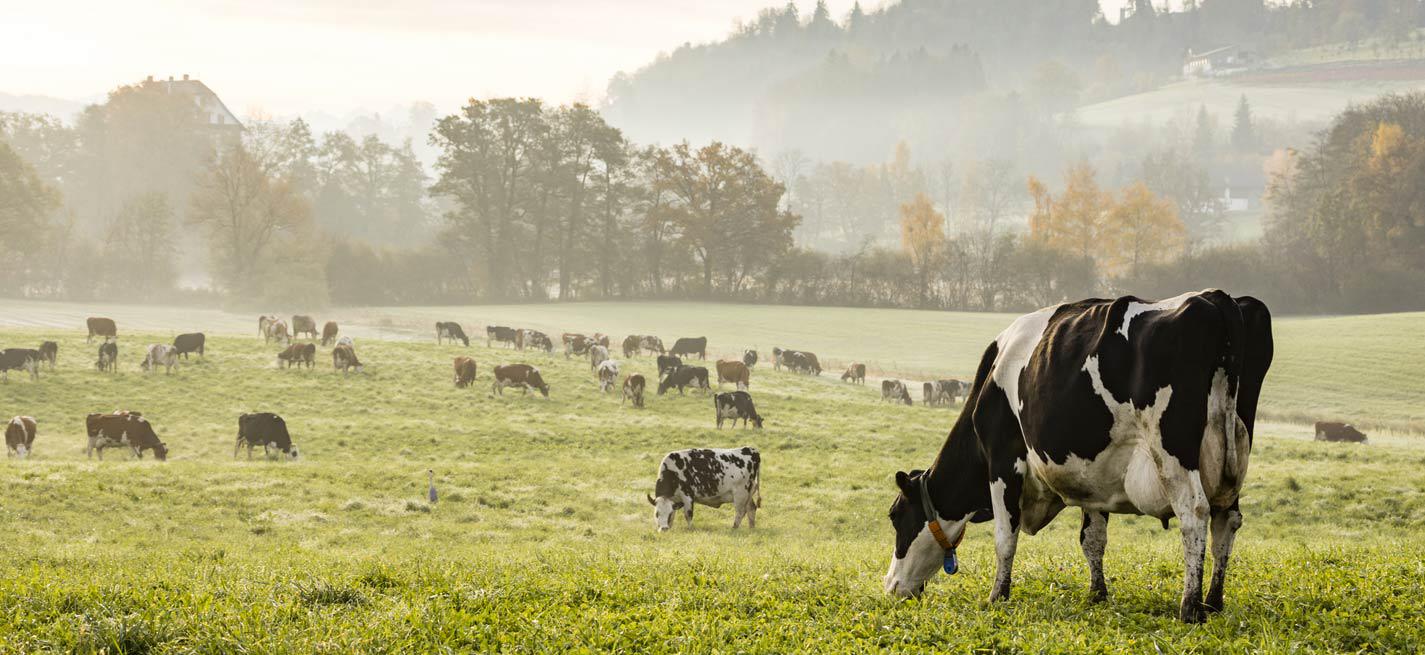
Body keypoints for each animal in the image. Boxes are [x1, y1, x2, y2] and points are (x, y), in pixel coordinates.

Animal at [883, 291, 1276, 623]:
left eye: (895, 516)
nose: (891, 586)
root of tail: (1217, 298)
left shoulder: (1003, 460)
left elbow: (1004, 537)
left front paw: (997, 596)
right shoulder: (1095, 476)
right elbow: (1092, 539)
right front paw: (1097, 594)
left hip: (1173, 451)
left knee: (1194, 513)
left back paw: (1190, 607)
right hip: (1233, 456)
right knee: (1226, 520)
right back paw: (1214, 601)